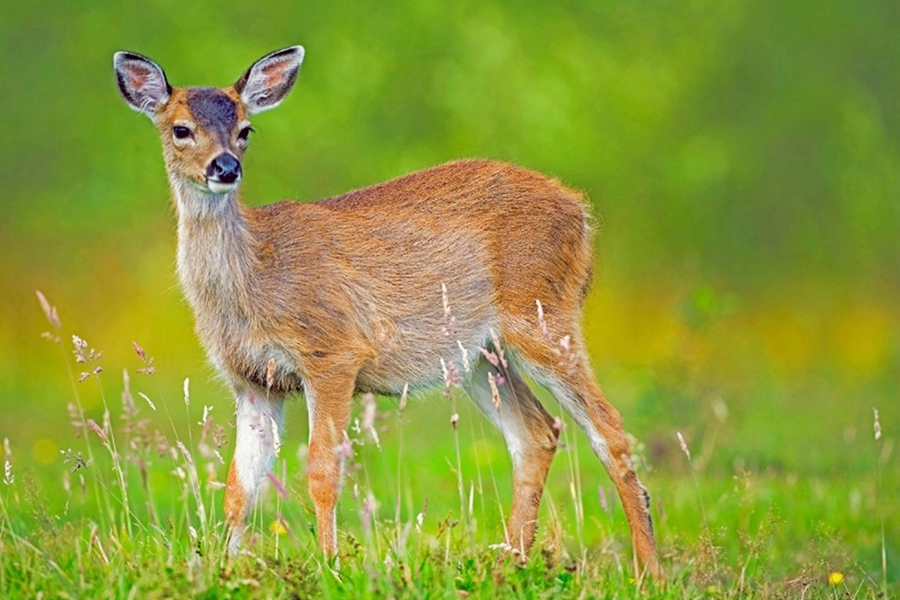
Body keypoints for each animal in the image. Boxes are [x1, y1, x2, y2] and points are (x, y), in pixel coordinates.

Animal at [110, 44, 660, 580]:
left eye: (246, 129)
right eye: (181, 129)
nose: (225, 167)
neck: (256, 275)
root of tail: (581, 212)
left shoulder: (332, 352)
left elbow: (321, 470)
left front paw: (329, 566)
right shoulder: (253, 381)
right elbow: (238, 488)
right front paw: (223, 568)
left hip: (542, 316)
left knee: (610, 430)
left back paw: (648, 571)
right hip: (478, 354)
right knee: (537, 434)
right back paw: (512, 562)